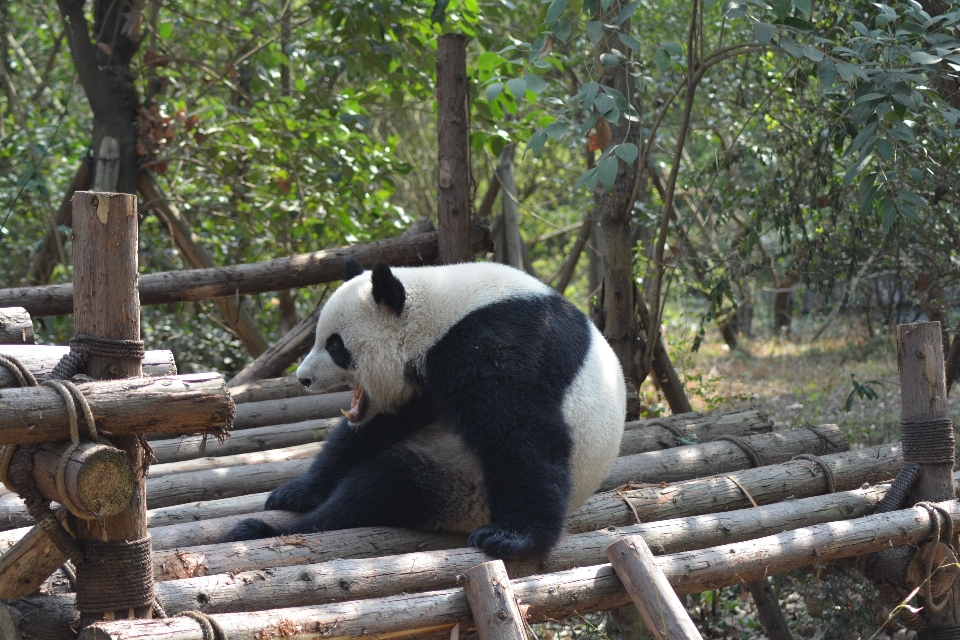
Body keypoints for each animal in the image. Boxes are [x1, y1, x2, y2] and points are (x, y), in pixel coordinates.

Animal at [229, 258, 628, 556]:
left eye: (335, 345)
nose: (303, 378)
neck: (436, 312)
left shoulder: (495, 339)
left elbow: (521, 431)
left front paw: (513, 537)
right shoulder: (422, 385)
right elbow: (374, 428)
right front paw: (297, 490)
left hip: (461, 484)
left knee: (379, 488)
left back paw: (261, 530)